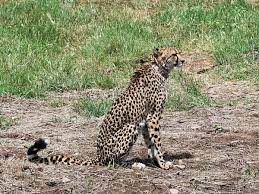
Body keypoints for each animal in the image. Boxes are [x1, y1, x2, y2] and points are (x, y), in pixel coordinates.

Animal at [27, 46, 186, 169]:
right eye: (174, 54)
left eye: (178, 52)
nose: (183, 60)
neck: (158, 68)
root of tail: (98, 156)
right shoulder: (154, 116)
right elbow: (157, 142)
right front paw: (163, 164)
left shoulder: (147, 119)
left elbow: (150, 143)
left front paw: (155, 162)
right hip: (131, 127)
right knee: (112, 162)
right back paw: (132, 164)